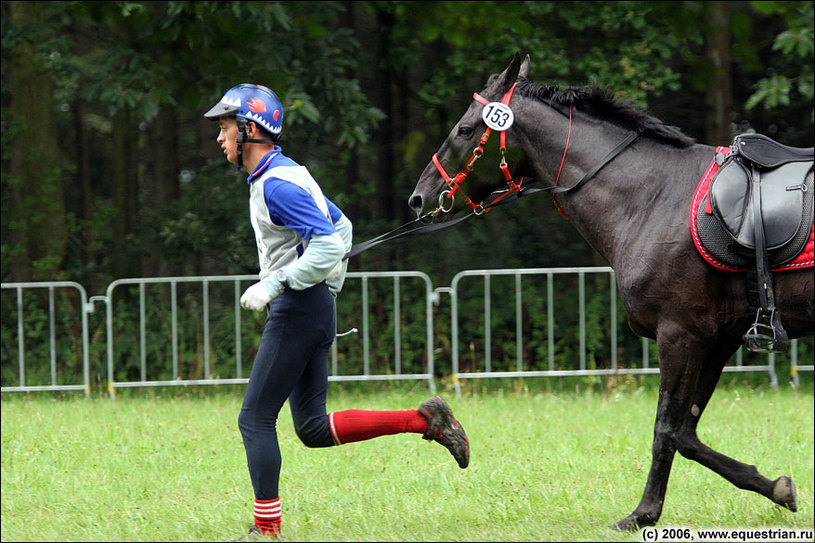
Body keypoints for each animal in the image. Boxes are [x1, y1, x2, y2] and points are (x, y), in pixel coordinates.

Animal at [412, 54, 812, 532]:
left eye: (465, 129)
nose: (420, 199)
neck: (653, 197)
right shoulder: (717, 340)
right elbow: (687, 433)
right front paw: (773, 487)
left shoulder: (680, 336)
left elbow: (667, 430)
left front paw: (644, 513)